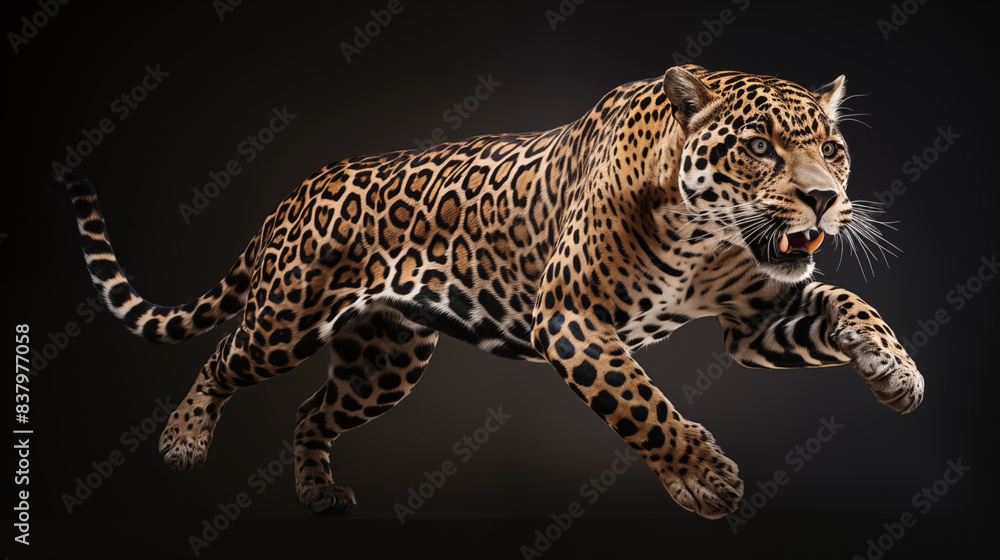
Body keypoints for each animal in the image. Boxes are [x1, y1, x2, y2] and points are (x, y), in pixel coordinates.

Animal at [56, 64, 924, 519]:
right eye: (758, 147)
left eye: (832, 148)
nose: (825, 200)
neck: (704, 237)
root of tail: (297, 192)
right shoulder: (571, 319)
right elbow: (640, 402)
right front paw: (704, 476)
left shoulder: (755, 319)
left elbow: (850, 304)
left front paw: (895, 372)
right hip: (286, 317)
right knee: (222, 360)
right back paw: (184, 440)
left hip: (385, 362)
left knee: (310, 409)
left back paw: (321, 492)